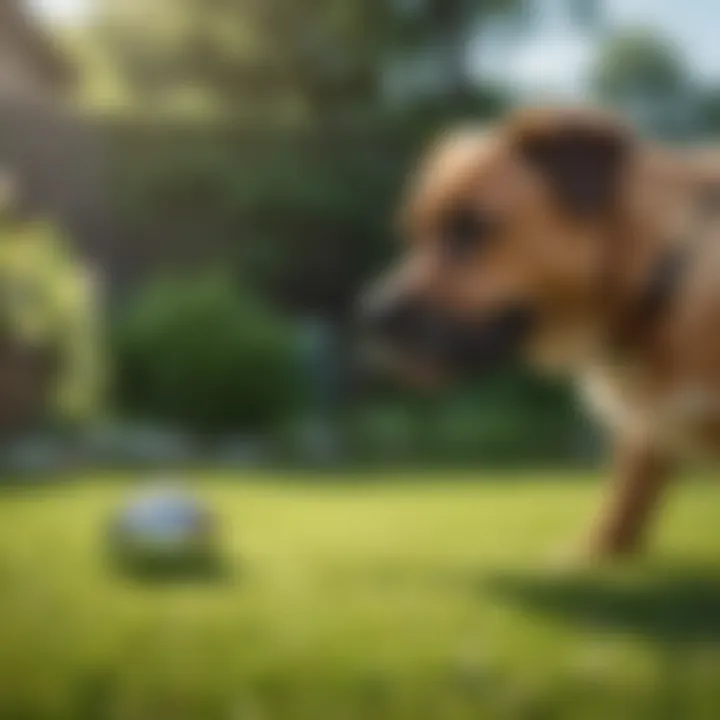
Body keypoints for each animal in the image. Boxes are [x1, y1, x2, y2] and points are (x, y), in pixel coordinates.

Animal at [360, 107, 720, 560]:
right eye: (413, 233)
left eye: (472, 228)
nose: (372, 314)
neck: (662, 273)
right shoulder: (646, 431)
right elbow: (629, 488)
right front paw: (594, 554)